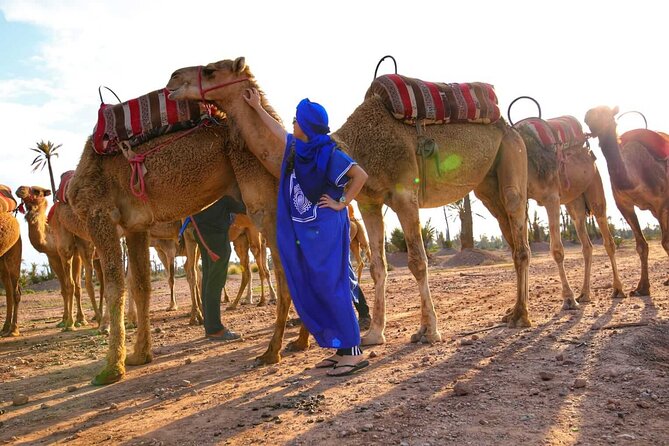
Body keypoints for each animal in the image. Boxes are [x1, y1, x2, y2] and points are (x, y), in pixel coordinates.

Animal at [65, 110, 290, 384]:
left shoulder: (100, 213)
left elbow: (115, 287)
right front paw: (140, 355)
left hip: (257, 189)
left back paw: (274, 347)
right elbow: (141, 286)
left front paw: (111, 368)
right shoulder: (135, 227)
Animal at [164, 56, 528, 348]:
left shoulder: (404, 194)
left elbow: (417, 262)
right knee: (509, 235)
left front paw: (429, 332)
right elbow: (378, 266)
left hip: (512, 156)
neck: (353, 146)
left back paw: (522, 317)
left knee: (518, 232)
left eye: (210, 70)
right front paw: (375, 334)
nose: (172, 80)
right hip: (487, 185)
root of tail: (506, 123)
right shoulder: (370, 202)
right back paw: (511, 311)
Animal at [512, 116, 628, 308]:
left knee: (608, 239)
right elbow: (524, 250)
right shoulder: (523, 200)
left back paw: (618, 289)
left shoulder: (551, 198)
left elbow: (557, 250)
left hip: (595, 187)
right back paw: (585, 293)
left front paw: (568, 298)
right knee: (586, 243)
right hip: (574, 202)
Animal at [580, 106, 664, 296]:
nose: (588, 115)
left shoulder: (662, 202)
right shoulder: (624, 206)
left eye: (607, 114)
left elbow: (666, 242)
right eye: (589, 118)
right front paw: (642, 288)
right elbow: (641, 246)